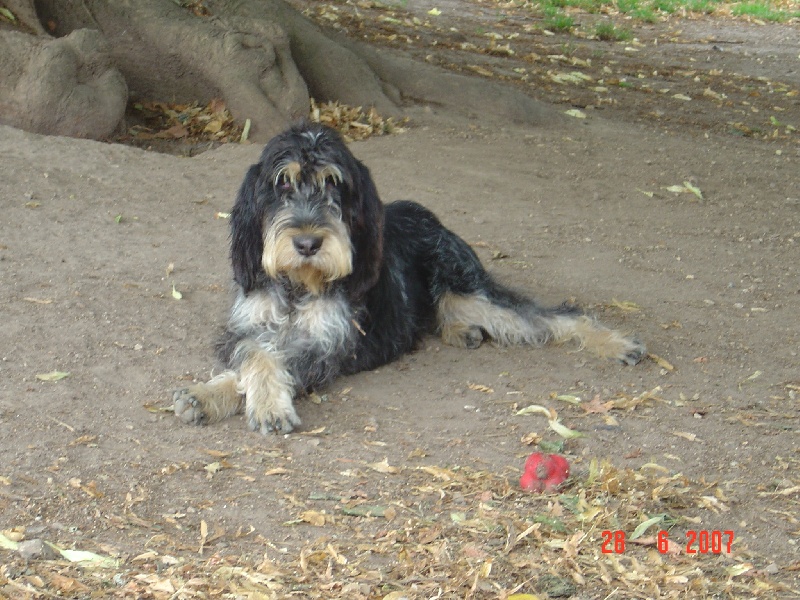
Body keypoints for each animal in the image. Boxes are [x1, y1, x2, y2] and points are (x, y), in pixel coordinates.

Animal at [173, 122, 644, 434]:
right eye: (282, 183)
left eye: (334, 183)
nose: (307, 243)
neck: (299, 285)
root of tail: (425, 212)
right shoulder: (242, 329)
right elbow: (256, 353)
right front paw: (205, 395)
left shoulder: (330, 345)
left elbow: (279, 360)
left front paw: (267, 405)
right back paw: (463, 332)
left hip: (468, 288)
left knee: (556, 314)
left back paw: (617, 343)